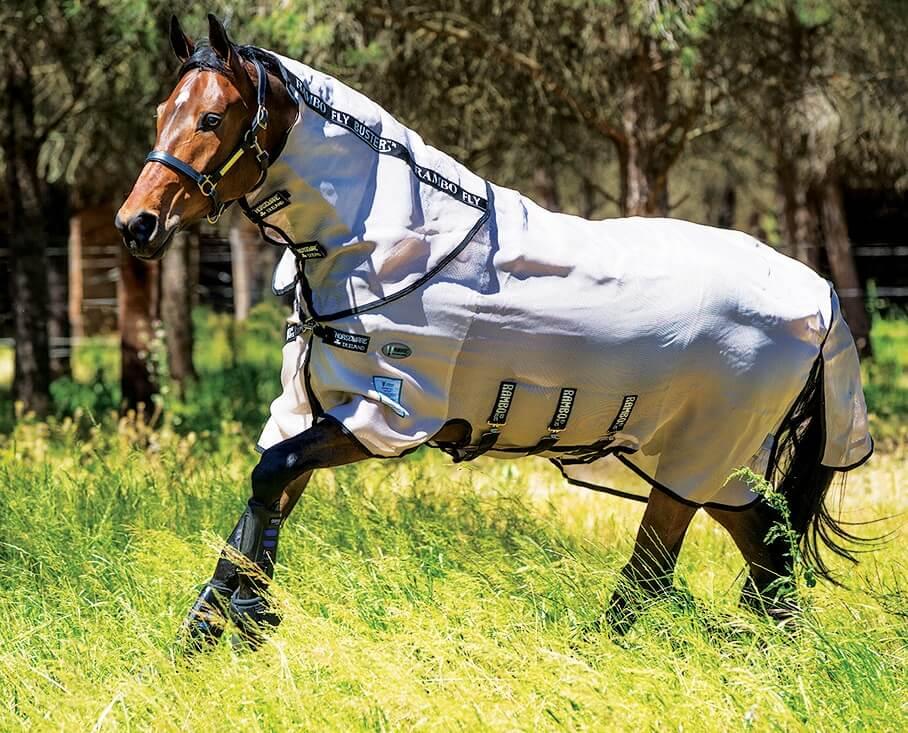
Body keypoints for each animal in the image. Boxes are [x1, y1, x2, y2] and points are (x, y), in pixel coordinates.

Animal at [116, 15, 874, 650]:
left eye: (213, 116)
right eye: (160, 113)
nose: (137, 224)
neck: (391, 241)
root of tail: (818, 296)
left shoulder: (387, 414)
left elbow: (269, 476)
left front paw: (241, 621)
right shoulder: (311, 408)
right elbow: (265, 494)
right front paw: (208, 634)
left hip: (697, 459)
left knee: (664, 569)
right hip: (717, 469)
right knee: (765, 552)